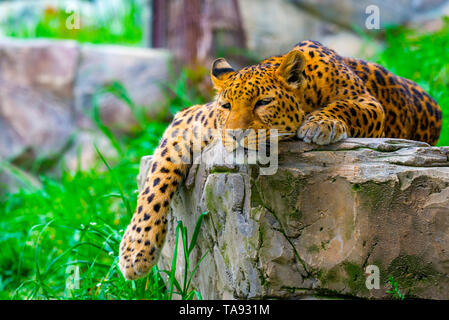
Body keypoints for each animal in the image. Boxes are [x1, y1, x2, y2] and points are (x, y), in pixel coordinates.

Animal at [118, 40, 440, 280]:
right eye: (226, 105)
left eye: (263, 102)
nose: (234, 134)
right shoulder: (191, 119)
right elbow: (155, 181)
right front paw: (135, 250)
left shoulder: (370, 105)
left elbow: (347, 107)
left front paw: (319, 123)